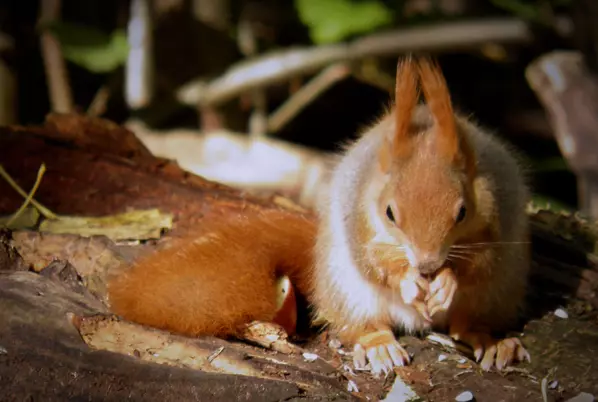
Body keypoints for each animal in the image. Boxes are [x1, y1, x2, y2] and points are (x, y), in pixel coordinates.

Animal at [105, 55, 532, 374]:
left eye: (462, 211)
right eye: (390, 212)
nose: (427, 265)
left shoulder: (498, 213)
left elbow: (480, 259)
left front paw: (445, 281)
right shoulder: (359, 218)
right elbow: (374, 260)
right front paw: (409, 281)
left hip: (498, 292)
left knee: (469, 323)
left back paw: (491, 342)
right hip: (347, 290)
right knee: (362, 325)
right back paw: (379, 345)